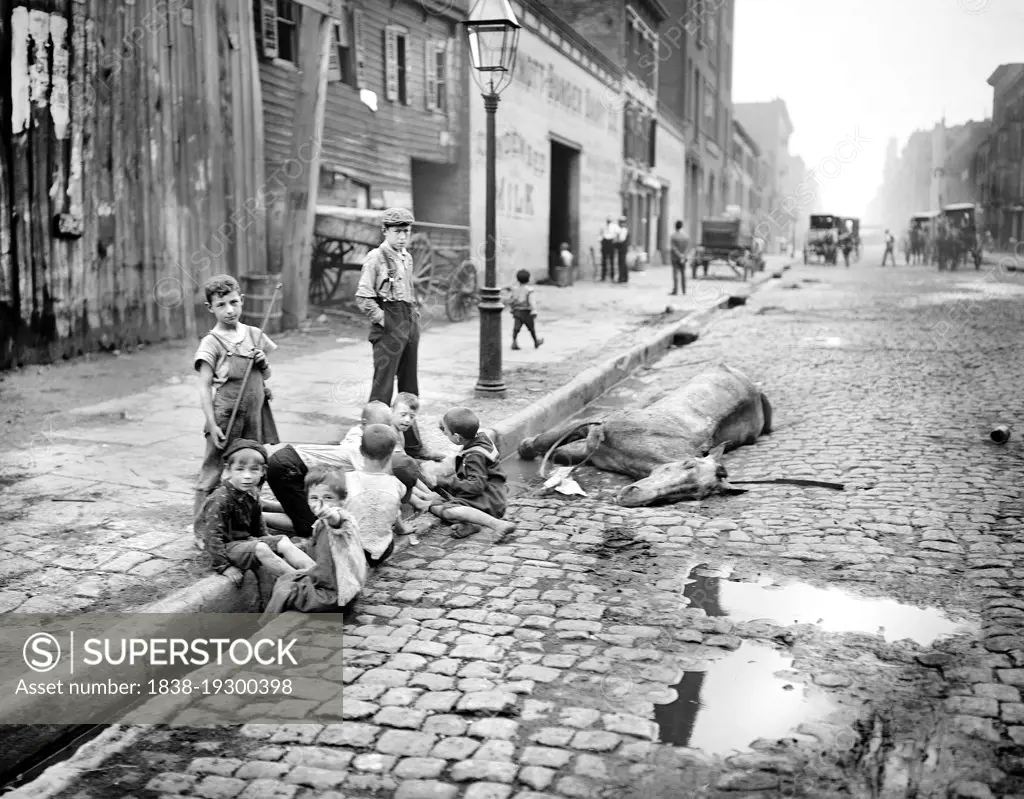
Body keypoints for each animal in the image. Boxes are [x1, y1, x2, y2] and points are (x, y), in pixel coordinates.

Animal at [520, 362, 770, 506]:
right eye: (688, 464)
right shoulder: (594, 423)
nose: (631, 496)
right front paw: (524, 447)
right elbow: (547, 441)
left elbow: (561, 452)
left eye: (692, 494)